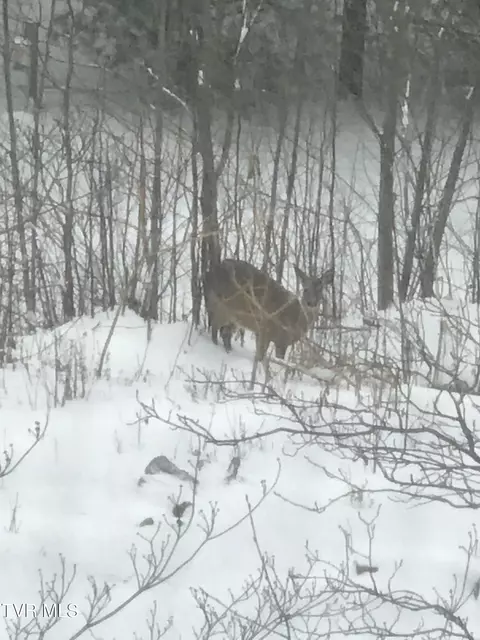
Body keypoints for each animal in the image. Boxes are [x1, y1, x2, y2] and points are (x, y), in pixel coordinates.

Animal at [204, 259, 334, 385]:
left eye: (320, 290)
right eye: (305, 289)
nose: (311, 303)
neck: (295, 322)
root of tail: (210, 273)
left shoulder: (269, 336)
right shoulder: (271, 334)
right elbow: (265, 358)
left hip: (234, 317)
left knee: (225, 333)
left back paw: (229, 350)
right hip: (223, 306)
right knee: (215, 328)